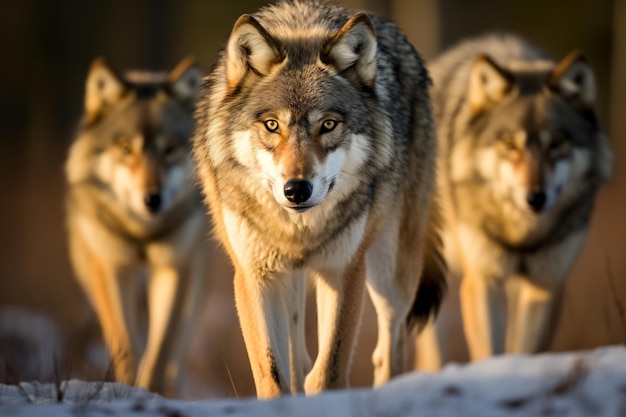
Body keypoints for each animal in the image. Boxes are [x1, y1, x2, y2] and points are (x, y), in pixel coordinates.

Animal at [65, 57, 207, 394]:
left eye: (170, 149)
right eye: (126, 148)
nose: (152, 199)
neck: (143, 234)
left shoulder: (176, 268)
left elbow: (162, 349)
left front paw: (150, 391)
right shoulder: (112, 268)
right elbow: (126, 343)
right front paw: (128, 390)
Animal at [193, 0, 442, 396]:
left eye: (327, 125)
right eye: (272, 125)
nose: (296, 189)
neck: (299, 230)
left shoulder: (344, 269)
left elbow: (328, 373)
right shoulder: (252, 274)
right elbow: (273, 374)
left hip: (390, 277)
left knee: (390, 349)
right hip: (293, 282)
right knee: (300, 357)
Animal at [416, 32, 612, 364]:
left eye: (556, 143)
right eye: (509, 144)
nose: (535, 198)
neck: (523, 237)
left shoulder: (545, 284)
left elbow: (524, 349)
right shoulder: (483, 281)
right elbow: (488, 352)